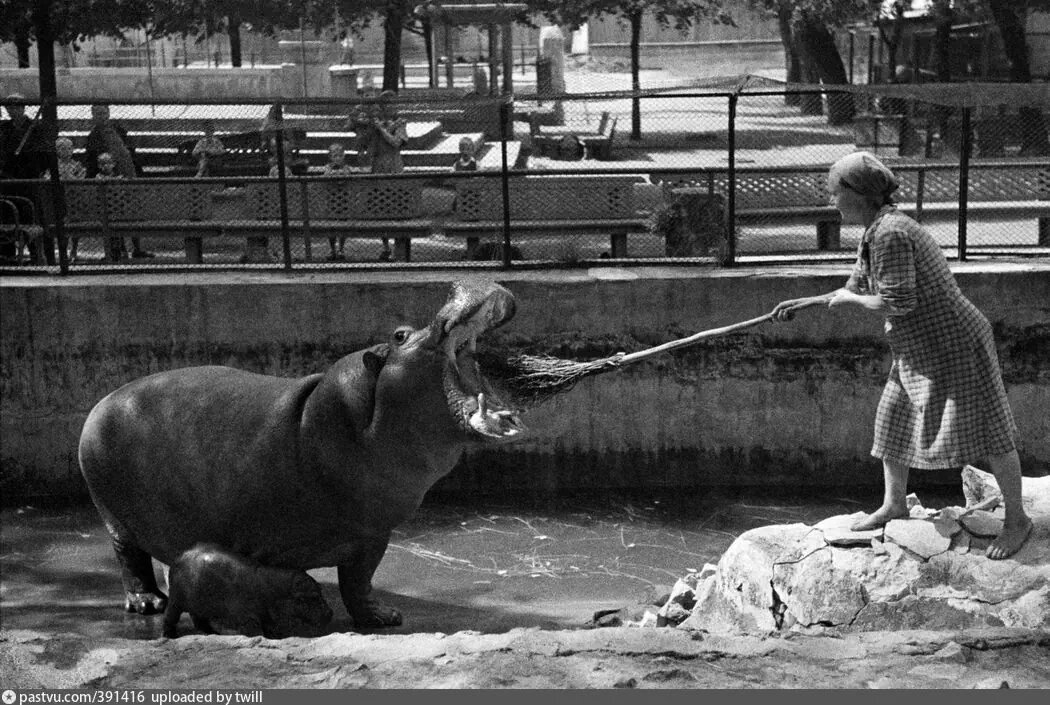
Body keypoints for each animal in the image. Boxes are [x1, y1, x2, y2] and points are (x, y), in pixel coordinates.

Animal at [162, 542, 331, 643]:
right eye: (314, 597)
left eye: (320, 590)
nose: (330, 612)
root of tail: (179, 556)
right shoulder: (248, 618)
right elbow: (255, 632)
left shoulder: (267, 616)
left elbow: (270, 629)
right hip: (176, 600)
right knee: (170, 618)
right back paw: (170, 636)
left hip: (200, 604)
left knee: (199, 620)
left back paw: (212, 634)